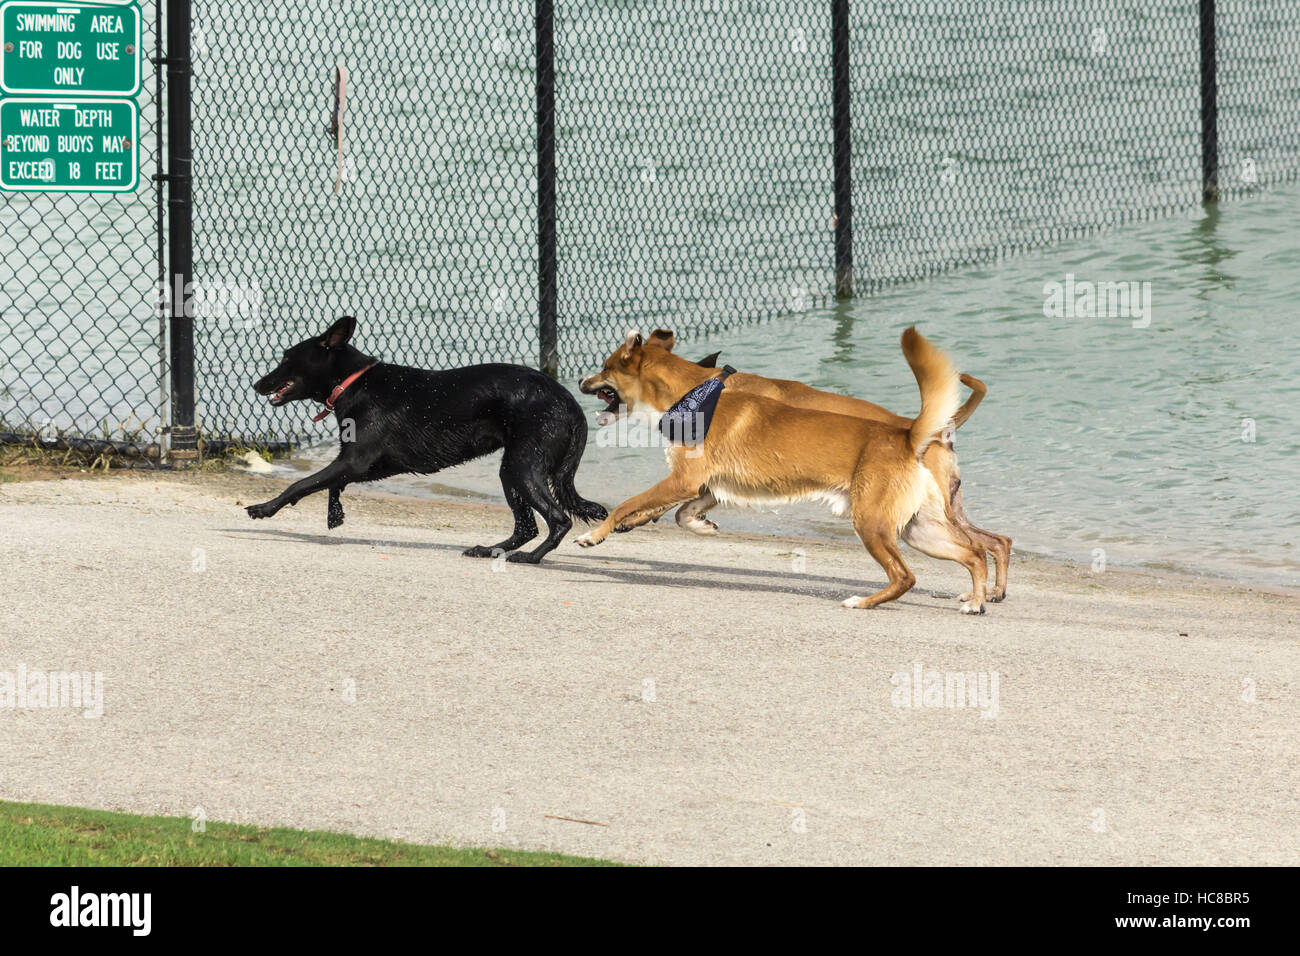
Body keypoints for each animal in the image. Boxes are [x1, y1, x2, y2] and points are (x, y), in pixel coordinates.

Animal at [245, 317, 605, 564]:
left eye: (286, 359)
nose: (256, 384)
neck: (354, 383)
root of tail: (571, 404)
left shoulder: (356, 460)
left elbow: (302, 484)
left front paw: (264, 508)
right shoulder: (371, 464)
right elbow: (331, 483)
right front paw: (335, 514)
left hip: (523, 466)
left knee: (558, 520)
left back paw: (531, 557)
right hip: (512, 470)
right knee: (526, 526)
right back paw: (489, 549)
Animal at [582, 325, 1013, 600]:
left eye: (604, 367)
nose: (581, 382)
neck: (698, 393)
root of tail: (913, 434)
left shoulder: (685, 480)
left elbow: (628, 504)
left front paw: (596, 533)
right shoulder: (708, 485)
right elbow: (678, 512)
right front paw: (699, 526)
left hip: (877, 523)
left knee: (921, 569)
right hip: (918, 526)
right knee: (981, 548)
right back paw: (980, 597)